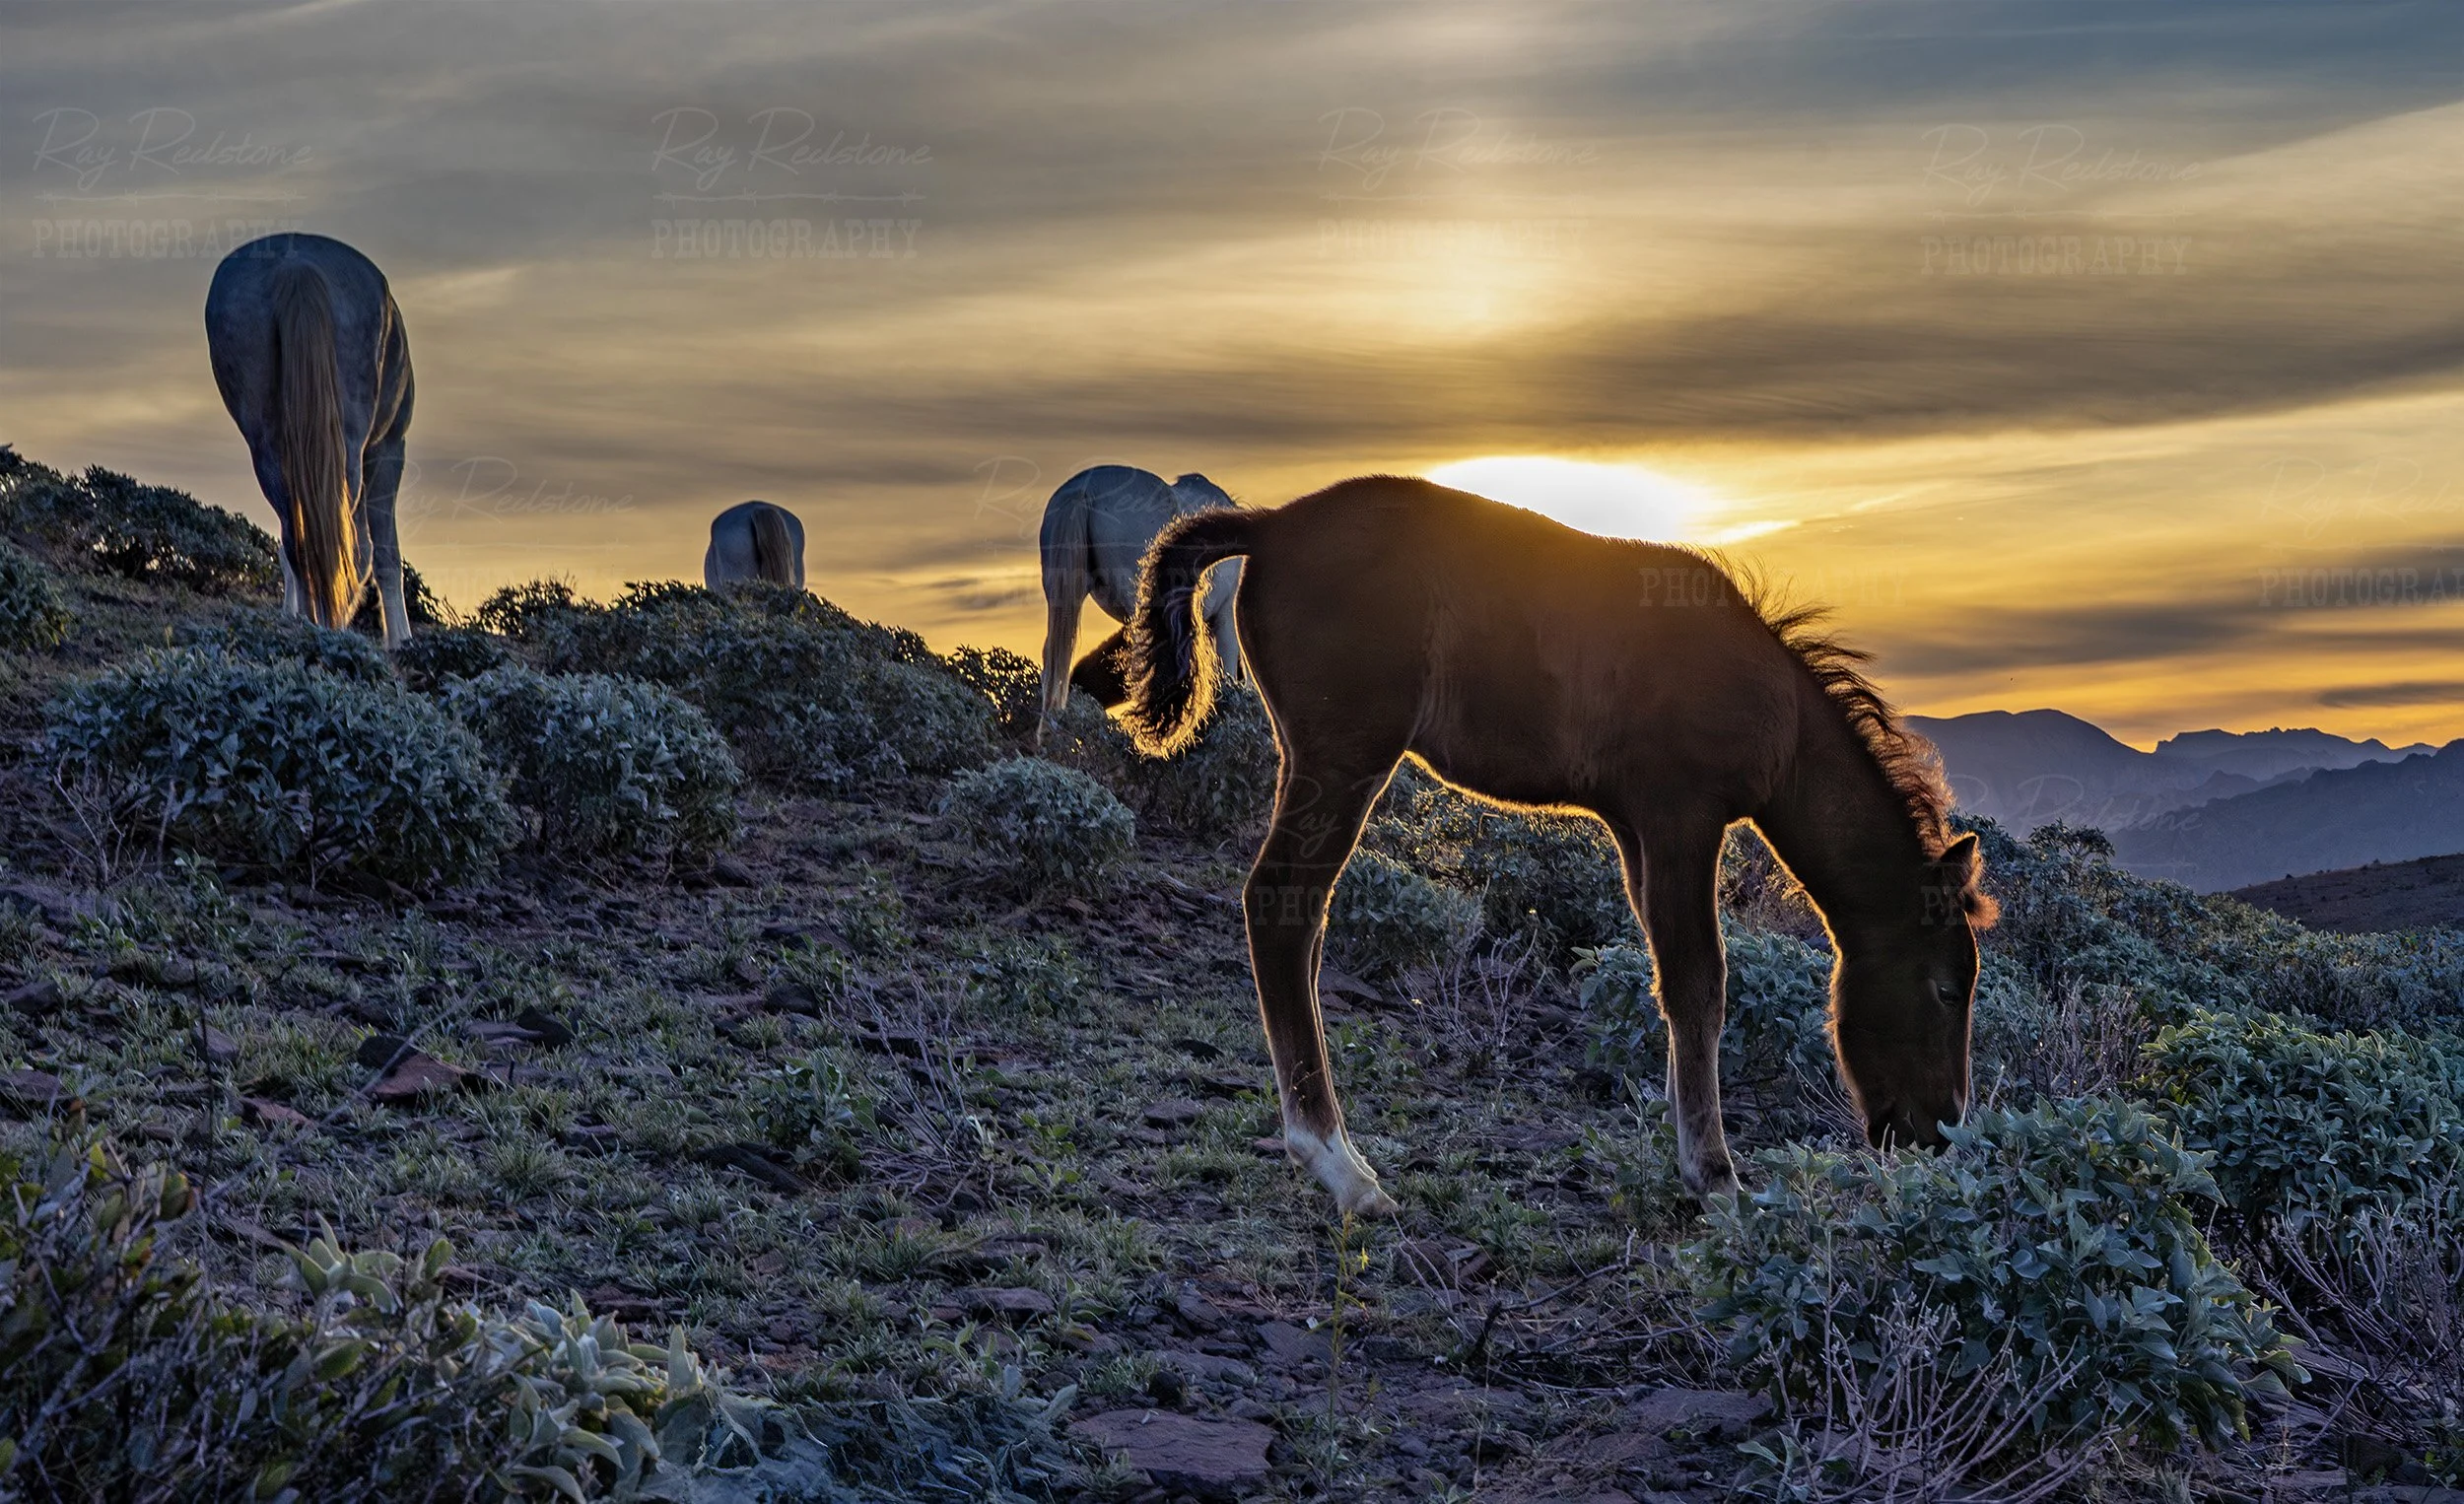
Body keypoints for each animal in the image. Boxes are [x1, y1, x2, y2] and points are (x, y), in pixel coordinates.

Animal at [205, 233, 416, 646]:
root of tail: (294, 264)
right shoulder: (389, 448)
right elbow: (386, 554)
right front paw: (400, 640)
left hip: (266, 444)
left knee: (297, 539)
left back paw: (312, 620)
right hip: (354, 443)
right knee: (346, 538)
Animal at [1123, 476, 1995, 1216]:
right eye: (1949, 988)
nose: (1938, 1130)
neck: (1774, 708)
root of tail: (1271, 525)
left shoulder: (1637, 830)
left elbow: (1667, 982)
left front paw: (1686, 1147)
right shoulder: (1683, 818)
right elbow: (1701, 986)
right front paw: (1716, 1175)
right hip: (1343, 758)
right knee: (1283, 908)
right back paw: (1341, 1165)